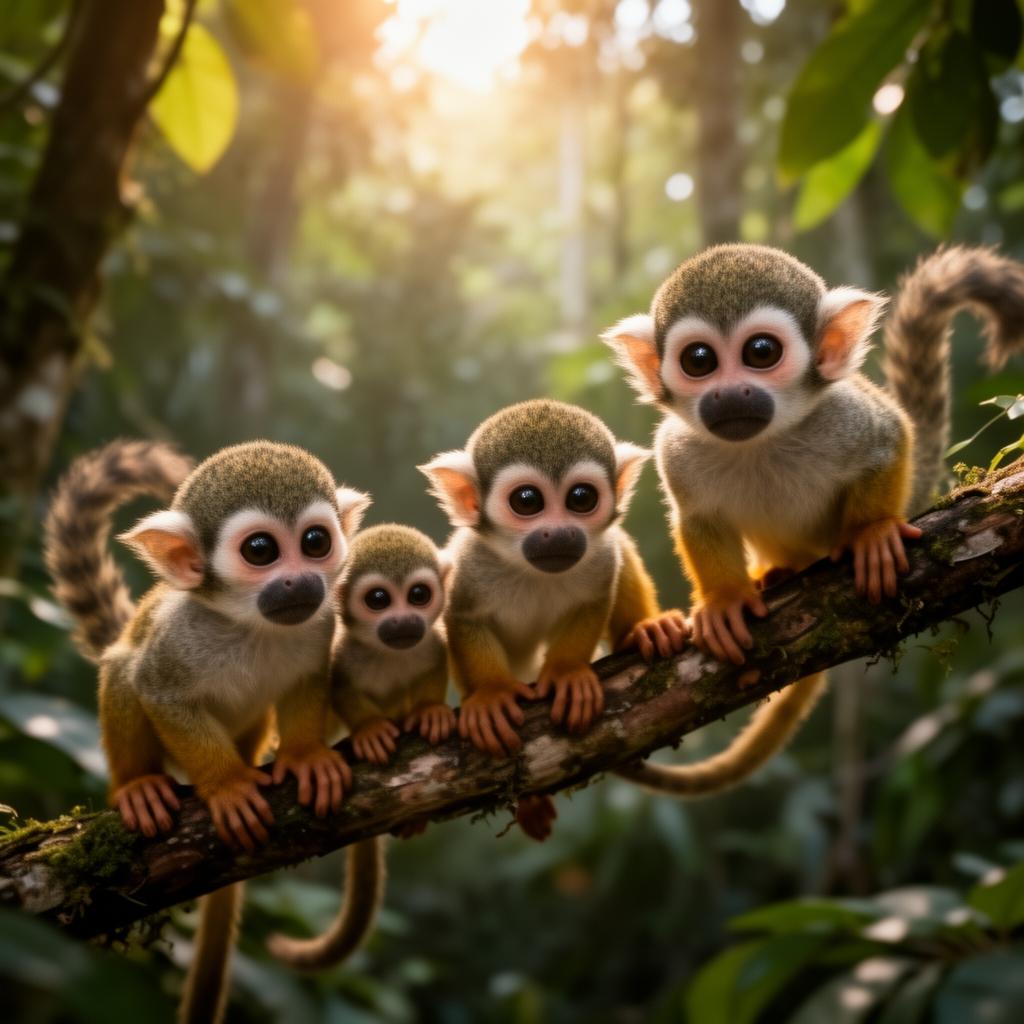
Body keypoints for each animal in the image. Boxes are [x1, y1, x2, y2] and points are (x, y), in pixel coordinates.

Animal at [45, 439, 370, 1024]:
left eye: (315, 542)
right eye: (261, 550)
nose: (300, 579)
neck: (249, 626)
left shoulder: (319, 624)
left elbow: (308, 681)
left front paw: (306, 756)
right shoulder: (178, 639)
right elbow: (157, 691)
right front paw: (228, 786)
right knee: (124, 667)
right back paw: (137, 785)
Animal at [267, 523, 453, 970]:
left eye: (418, 595)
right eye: (379, 600)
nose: (403, 621)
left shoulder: (432, 643)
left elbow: (435, 667)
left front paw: (430, 711)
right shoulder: (344, 654)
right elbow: (339, 688)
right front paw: (369, 730)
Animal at [419, 399, 688, 839]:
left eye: (581, 498)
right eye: (527, 501)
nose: (560, 533)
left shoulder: (599, 557)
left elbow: (595, 598)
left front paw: (566, 674)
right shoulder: (468, 566)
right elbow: (461, 618)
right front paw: (492, 694)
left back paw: (644, 629)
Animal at [603, 243, 1024, 796]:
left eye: (761, 353)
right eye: (699, 361)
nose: (729, 393)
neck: (762, 442)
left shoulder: (844, 416)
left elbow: (889, 440)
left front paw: (870, 535)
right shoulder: (674, 449)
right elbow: (698, 517)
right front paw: (725, 599)